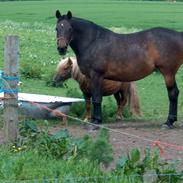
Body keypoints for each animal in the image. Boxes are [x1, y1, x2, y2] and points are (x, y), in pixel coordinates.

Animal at [55, 10, 183, 129]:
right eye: (57, 28)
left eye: (70, 28)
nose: (61, 48)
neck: (93, 42)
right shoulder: (91, 78)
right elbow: (91, 100)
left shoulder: (97, 75)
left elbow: (97, 98)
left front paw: (96, 121)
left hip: (168, 73)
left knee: (173, 93)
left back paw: (168, 122)